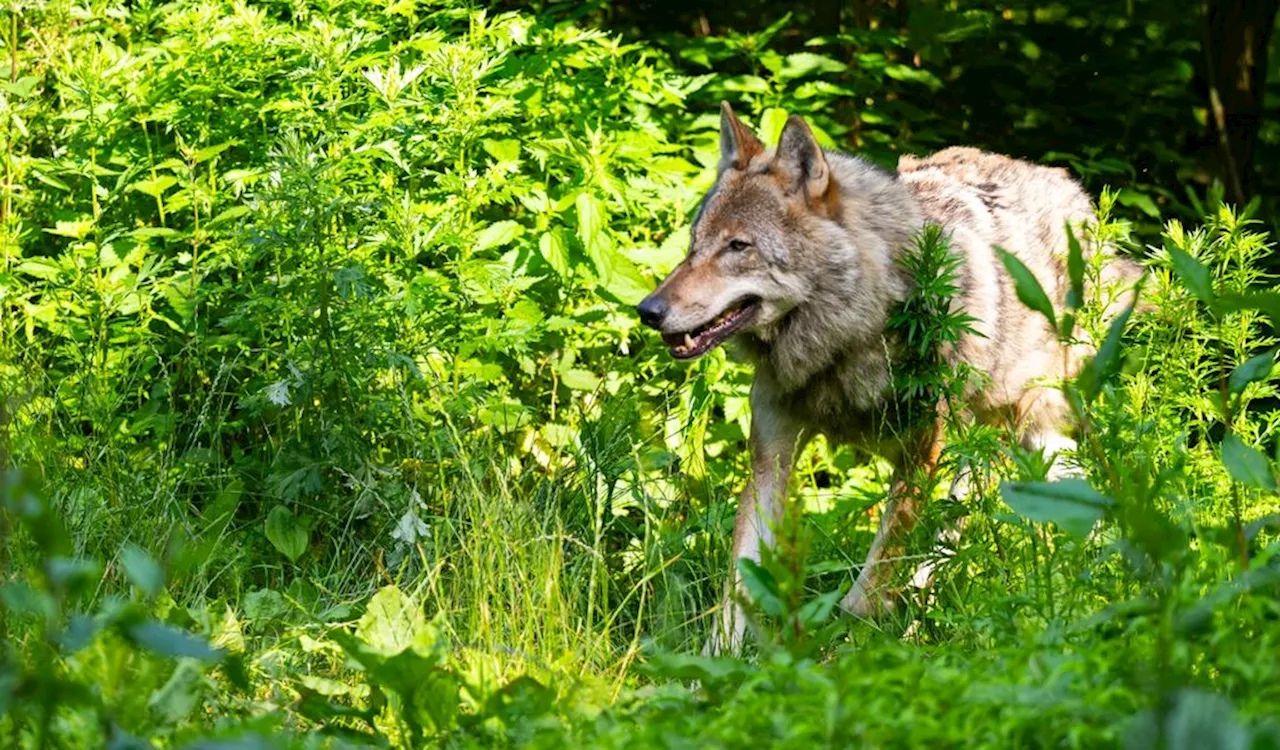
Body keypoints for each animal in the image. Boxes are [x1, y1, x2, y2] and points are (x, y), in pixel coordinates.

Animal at [634, 102, 1146, 650]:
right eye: (694, 245)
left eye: (737, 246)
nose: (648, 311)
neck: (845, 341)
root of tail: (1072, 190)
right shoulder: (771, 458)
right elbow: (737, 592)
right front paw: (707, 668)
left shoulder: (921, 457)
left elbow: (868, 590)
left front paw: (847, 655)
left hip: (1014, 435)